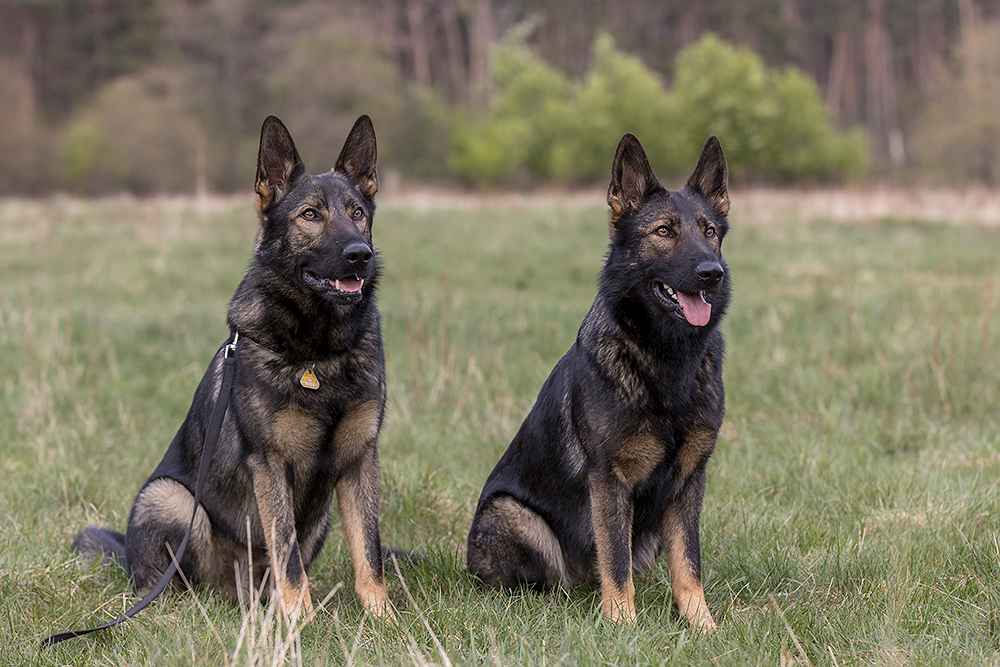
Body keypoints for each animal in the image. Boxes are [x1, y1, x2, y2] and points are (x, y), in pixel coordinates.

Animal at [74, 115, 392, 620]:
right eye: (310, 215)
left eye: (357, 212)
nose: (359, 254)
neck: (319, 351)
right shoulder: (270, 464)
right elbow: (287, 553)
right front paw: (298, 622)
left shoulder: (361, 459)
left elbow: (369, 551)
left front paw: (383, 618)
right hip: (170, 499)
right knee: (172, 583)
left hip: (319, 518)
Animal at [464, 133, 732, 628]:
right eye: (663, 232)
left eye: (709, 232)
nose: (712, 273)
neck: (666, 362)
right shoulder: (609, 481)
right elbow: (616, 561)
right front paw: (623, 625)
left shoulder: (688, 483)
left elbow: (689, 565)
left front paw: (702, 626)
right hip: (511, 515)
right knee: (552, 581)